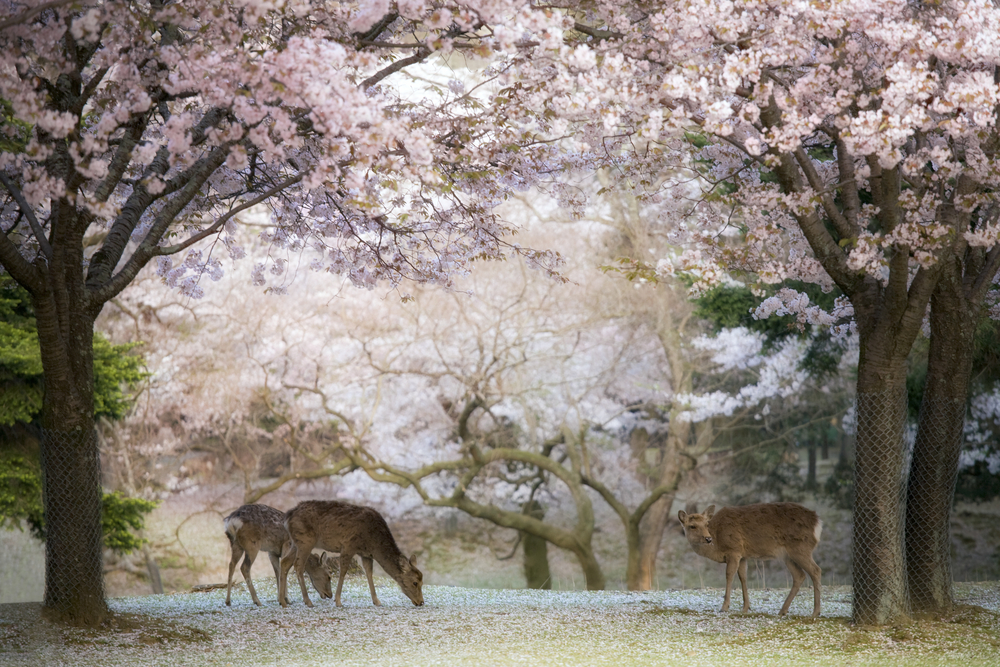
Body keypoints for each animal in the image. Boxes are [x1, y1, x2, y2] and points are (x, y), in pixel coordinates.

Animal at [279, 499, 424, 608]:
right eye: (415, 582)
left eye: (422, 582)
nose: (421, 602)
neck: (374, 543)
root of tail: (287, 517)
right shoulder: (349, 545)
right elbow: (343, 571)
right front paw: (338, 601)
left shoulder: (366, 554)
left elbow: (369, 573)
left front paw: (376, 601)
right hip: (305, 541)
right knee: (298, 566)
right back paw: (308, 601)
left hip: (295, 543)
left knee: (285, 562)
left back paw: (282, 601)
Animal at [677, 502, 822, 618]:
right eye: (692, 526)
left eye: (706, 524)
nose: (708, 538)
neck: (717, 543)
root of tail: (817, 522)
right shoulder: (743, 556)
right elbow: (743, 577)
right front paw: (746, 608)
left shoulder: (734, 549)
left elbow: (729, 575)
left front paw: (724, 607)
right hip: (788, 555)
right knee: (800, 575)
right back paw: (783, 611)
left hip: (800, 548)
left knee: (816, 570)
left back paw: (815, 612)